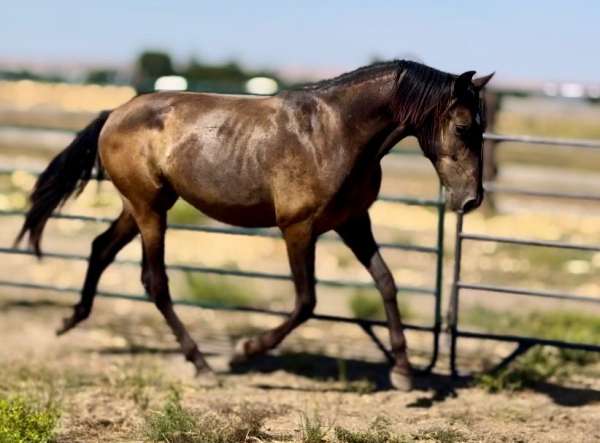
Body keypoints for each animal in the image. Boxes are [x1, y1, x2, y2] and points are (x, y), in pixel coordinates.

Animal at [16, 60, 492, 390]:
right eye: (463, 126)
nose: (471, 199)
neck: (336, 133)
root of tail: (115, 112)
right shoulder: (298, 229)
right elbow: (306, 302)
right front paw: (243, 352)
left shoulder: (355, 222)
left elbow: (386, 283)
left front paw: (404, 373)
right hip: (150, 210)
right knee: (155, 282)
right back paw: (205, 366)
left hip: (141, 207)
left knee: (100, 249)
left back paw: (69, 321)